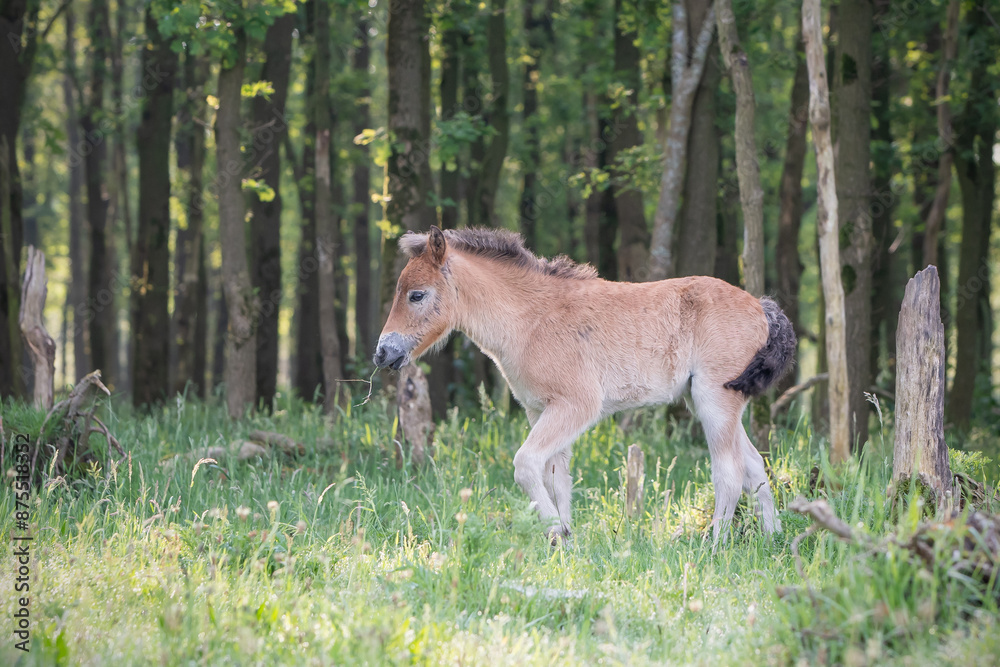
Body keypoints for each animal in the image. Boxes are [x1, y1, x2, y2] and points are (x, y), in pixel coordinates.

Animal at [376, 226, 796, 544]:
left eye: (416, 295)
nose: (383, 353)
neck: (530, 320)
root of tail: (761, 307)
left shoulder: (576, 405)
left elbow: (525, 465)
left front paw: (555, 531)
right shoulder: (541, 409)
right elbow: (556, 478)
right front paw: (566, 543)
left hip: (715, 399)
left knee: (728, 472)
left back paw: (716, 545)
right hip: (709, 401)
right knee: (755, 466)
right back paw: (773, 538)